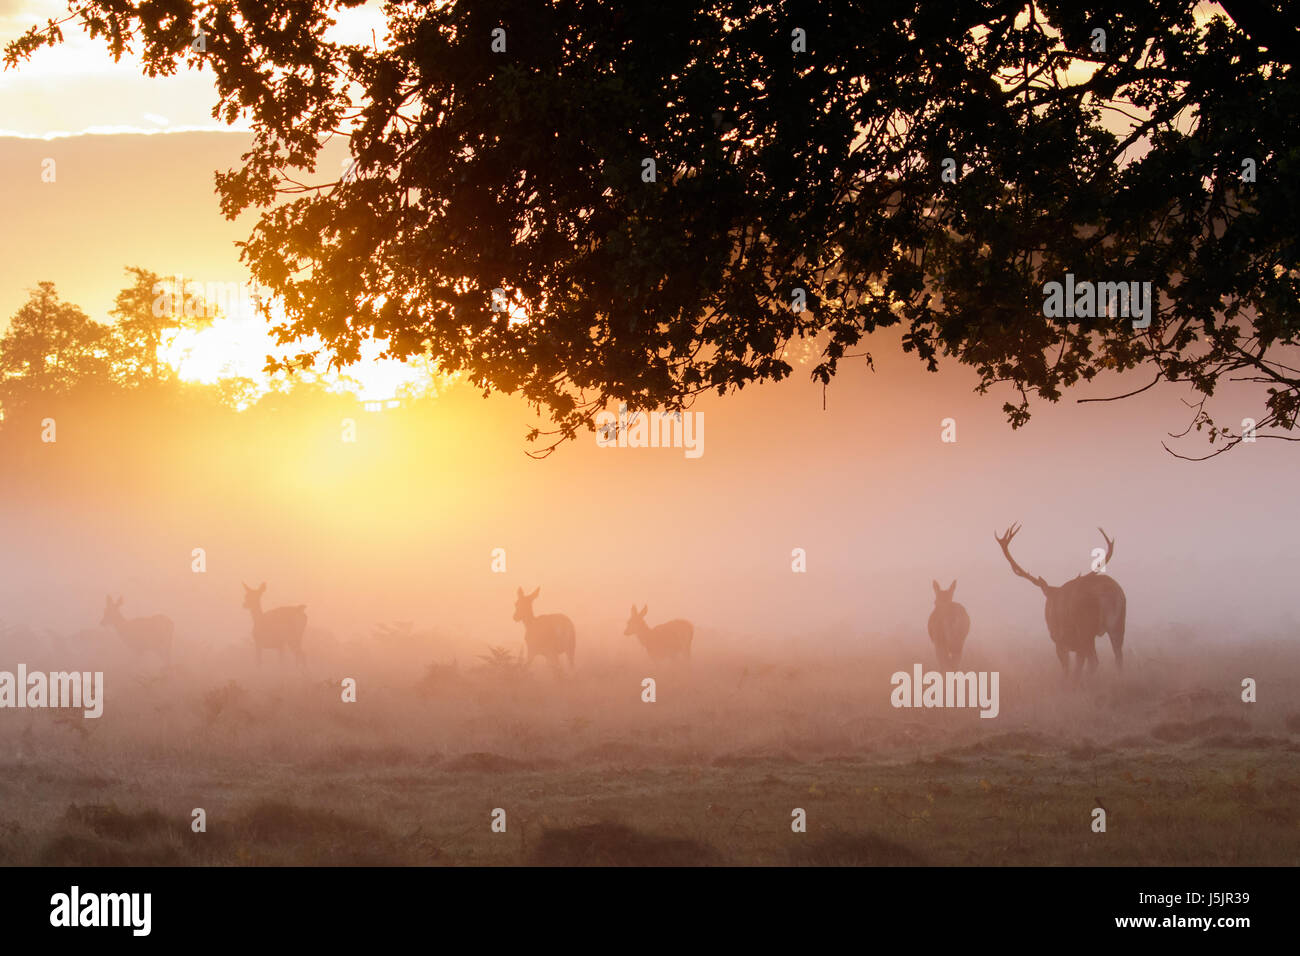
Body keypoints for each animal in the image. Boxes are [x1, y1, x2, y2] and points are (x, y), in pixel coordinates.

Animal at [993, 528, 1128, 676]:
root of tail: (1106, 593)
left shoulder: (1060, 640)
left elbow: (1067, 669)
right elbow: (1077, 667)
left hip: (1085, 628)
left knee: (1094, 661)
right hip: (1118, 624)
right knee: (1118, 658)